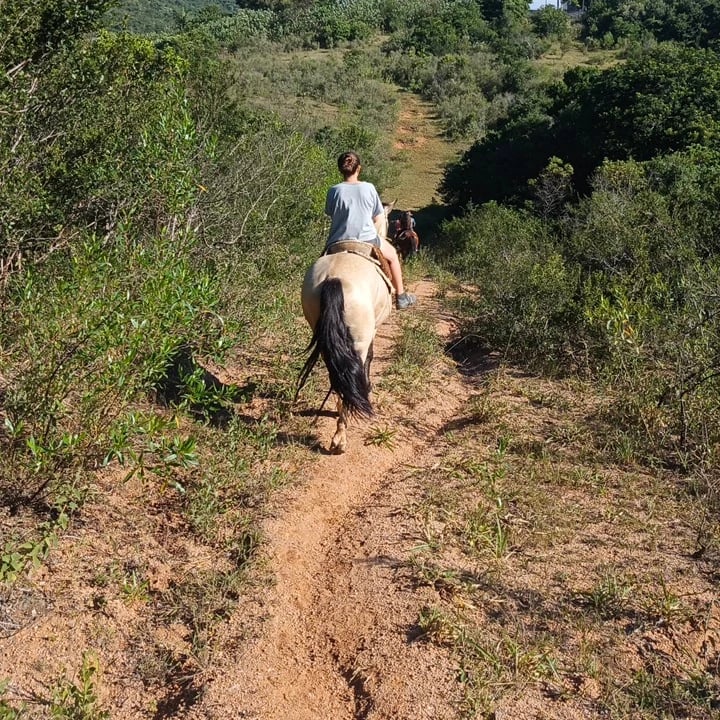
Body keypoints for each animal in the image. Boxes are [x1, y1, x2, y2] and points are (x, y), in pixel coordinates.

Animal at [297, 204, 394, 454]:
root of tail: (334, 278)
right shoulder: (372, 333)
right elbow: (370, 359)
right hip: (357, 340)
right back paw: (341, 436)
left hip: (325, 339)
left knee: (337, 376)